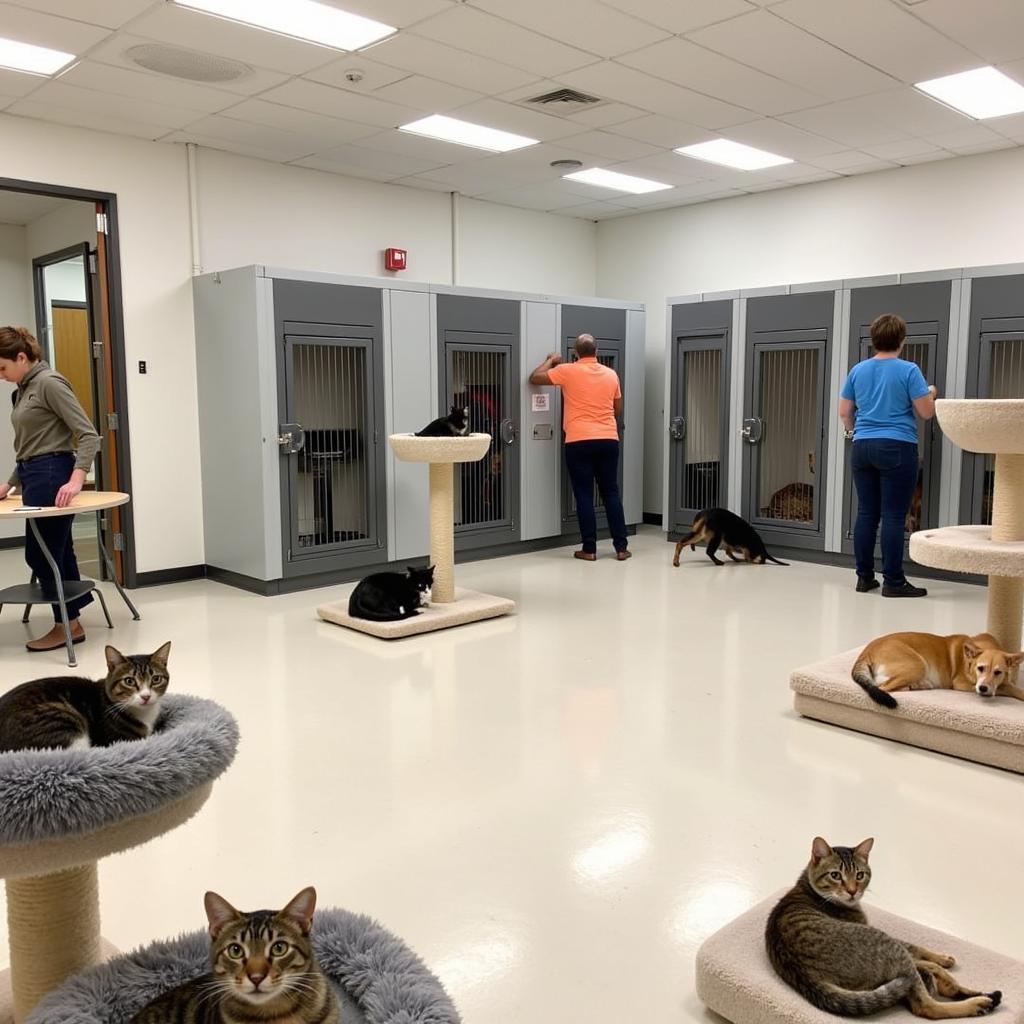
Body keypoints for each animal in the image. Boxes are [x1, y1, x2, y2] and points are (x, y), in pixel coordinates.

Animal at [847, 626, 1024, 708]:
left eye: (998, 672)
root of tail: (867, 651)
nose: (983, 689)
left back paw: (918, 685)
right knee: (882, 687)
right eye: (980, 668)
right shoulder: (962, 683)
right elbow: (1006, 687)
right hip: (918, 665)